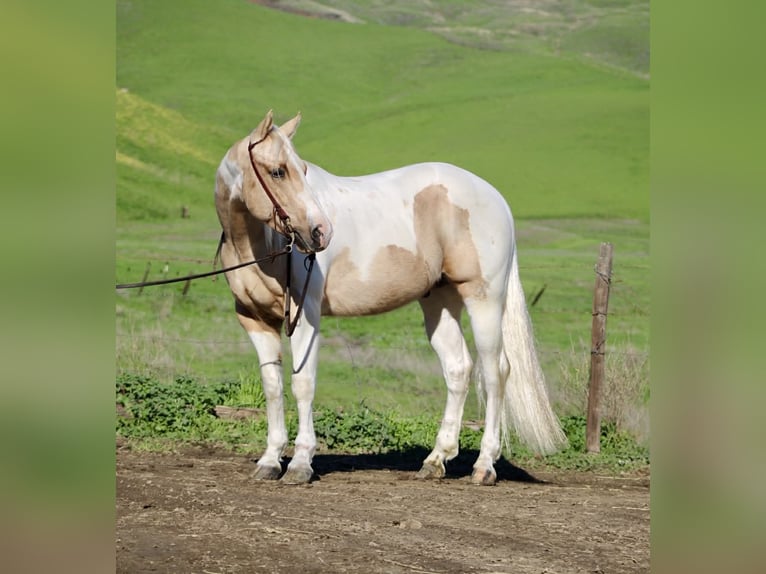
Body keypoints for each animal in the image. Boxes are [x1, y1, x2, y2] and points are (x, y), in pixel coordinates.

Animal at [214, 110, 567, 485]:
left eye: (303, 169)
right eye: (278, 171)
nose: (320, 232)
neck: (261, 245)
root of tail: (496, 197)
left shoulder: (305, 315)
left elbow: (303, 384)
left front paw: (300, 463)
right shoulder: (255, 320)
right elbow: (272, 386)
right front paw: (269, 460)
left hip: (484, 300)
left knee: (495, 372)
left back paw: (484, 465)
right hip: (439, 303)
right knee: (458, 369)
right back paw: (435, 460)